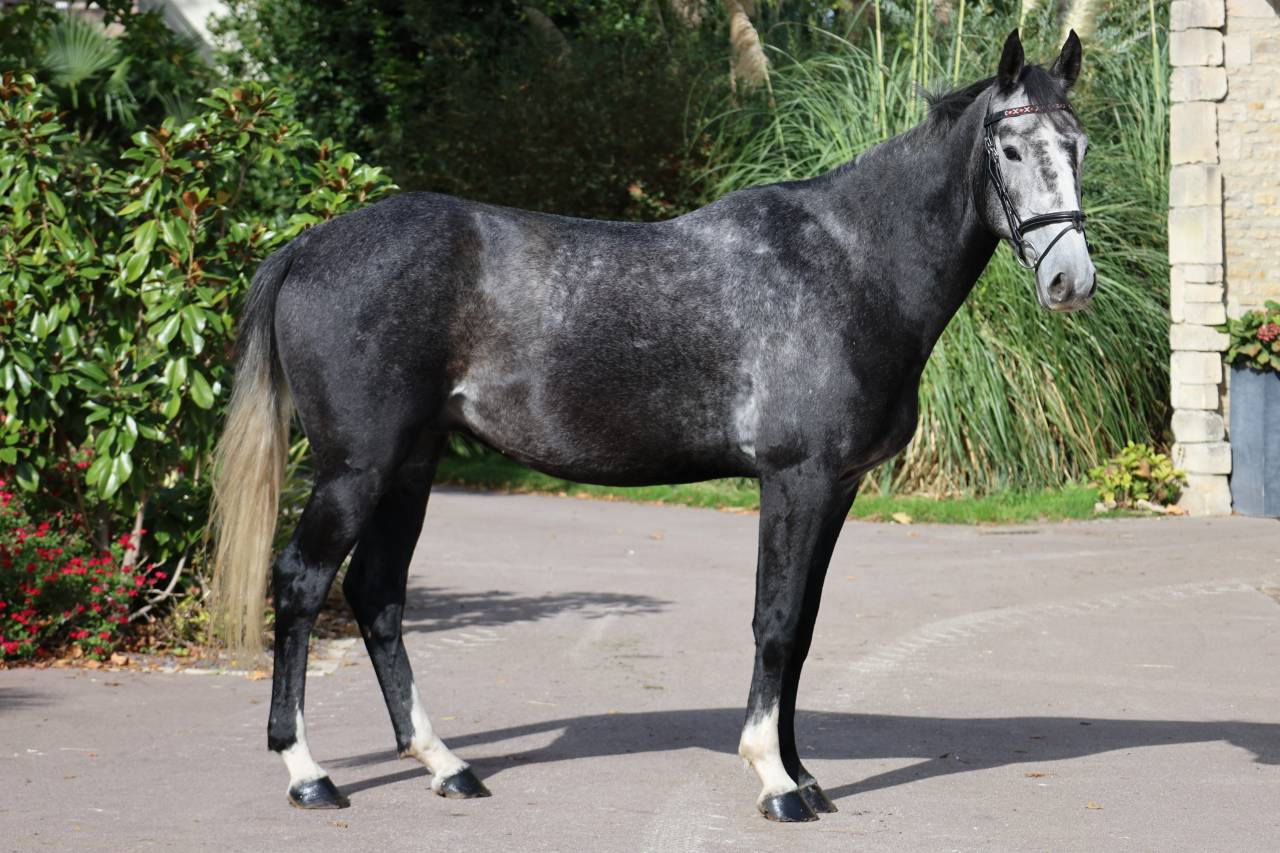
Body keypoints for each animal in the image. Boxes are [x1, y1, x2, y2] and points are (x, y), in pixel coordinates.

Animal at [211, 28, 1094, 822]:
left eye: (1078, 145)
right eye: (1011, 149)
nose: (1070, 281)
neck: (848, 264)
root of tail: (308, 246)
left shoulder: (837, 486)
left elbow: (804, 628)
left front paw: (805, 776)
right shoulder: (795, 478)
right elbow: (775, 624)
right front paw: (775, 781)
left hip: (411, 465)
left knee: (378, 594)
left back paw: (445, 765)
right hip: (355, 468)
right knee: (301, 582)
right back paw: (308, 773)